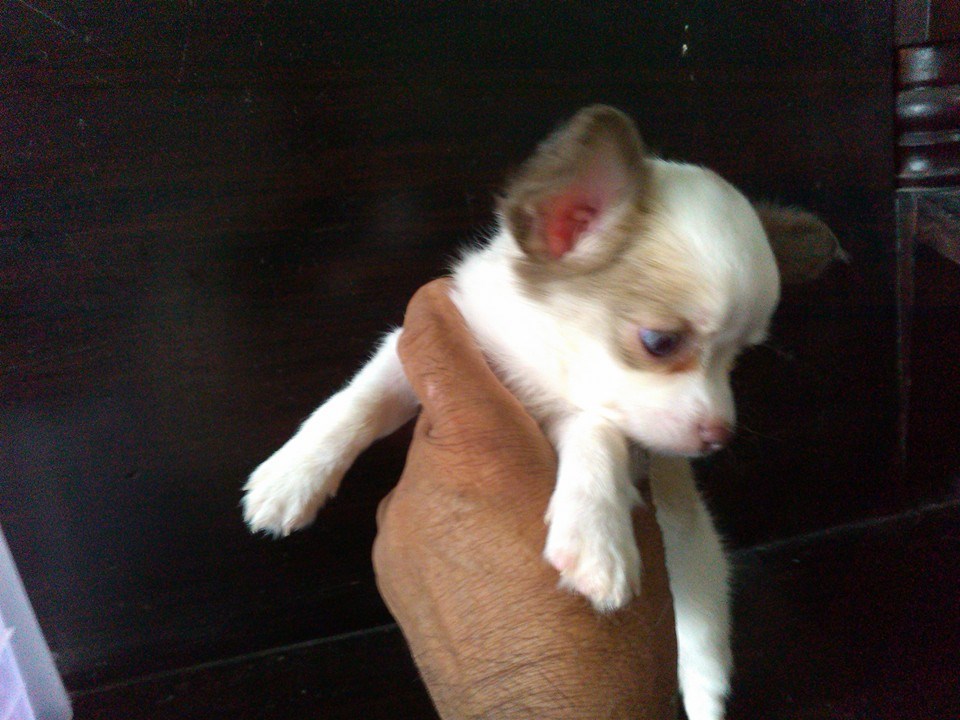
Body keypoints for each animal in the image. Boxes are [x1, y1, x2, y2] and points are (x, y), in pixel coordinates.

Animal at [242, 105, 840, 720]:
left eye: (738, 358)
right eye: (660, 342)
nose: (720, 435)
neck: (544, 360)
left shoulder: (591, 422)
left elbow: (600, 435)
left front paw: (596, 537)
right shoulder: (430, 344)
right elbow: (359, 402)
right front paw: (292, 477)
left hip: (699, 570)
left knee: (702, 655)